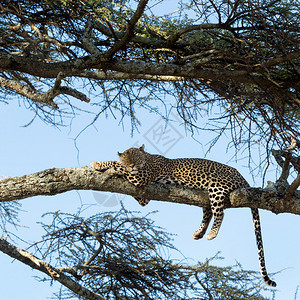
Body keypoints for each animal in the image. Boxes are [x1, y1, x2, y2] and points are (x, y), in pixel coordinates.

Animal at [91, 144, 276, 288]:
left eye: (136, 157)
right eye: (127, 159)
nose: (132, 166)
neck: (148, 158)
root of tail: (243, 178)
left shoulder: (141, 178)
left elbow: (115, 164)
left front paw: (101, 165)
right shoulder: (144, 196)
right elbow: (121, 170)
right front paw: (105, 167)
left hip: (216, 187)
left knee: (220, 213)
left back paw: (211, 234)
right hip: (204, 196)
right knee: (208, 212)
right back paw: (199, 232)